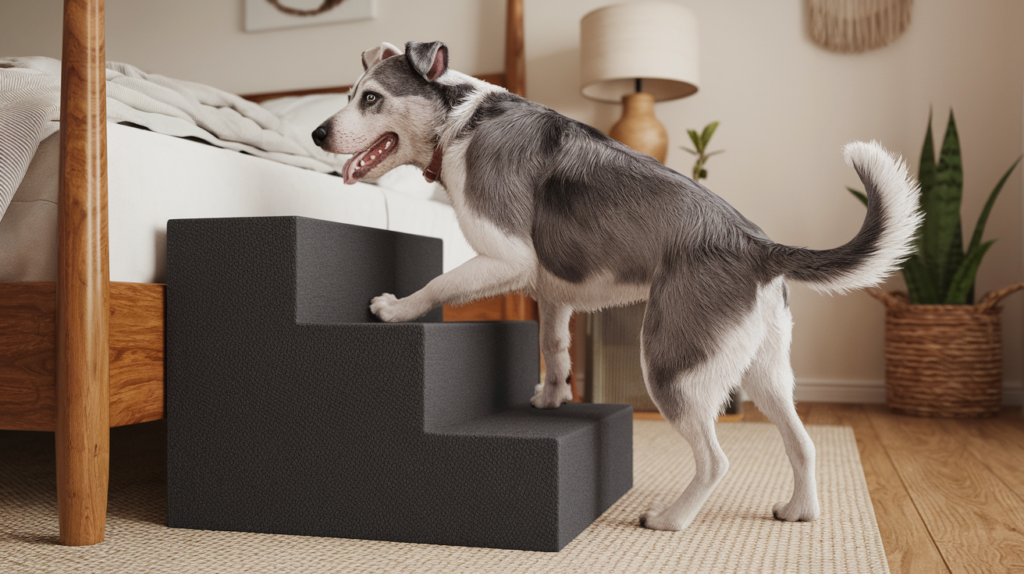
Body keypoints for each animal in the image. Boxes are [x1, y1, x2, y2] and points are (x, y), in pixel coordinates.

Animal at [309, 41, 921, 532]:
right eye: (350, 95)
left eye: (370, 99)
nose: (316, 132)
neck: (461, 121)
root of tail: (757, 245)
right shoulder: (553, 294)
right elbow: (554, 348)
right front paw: (552, 397)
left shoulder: (506, 255)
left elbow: (437, 284)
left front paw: (395, 308)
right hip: (765, 370)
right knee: (804, 444)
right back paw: (799, 510)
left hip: (670, 361)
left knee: (715, 460)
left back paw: (671, 519)